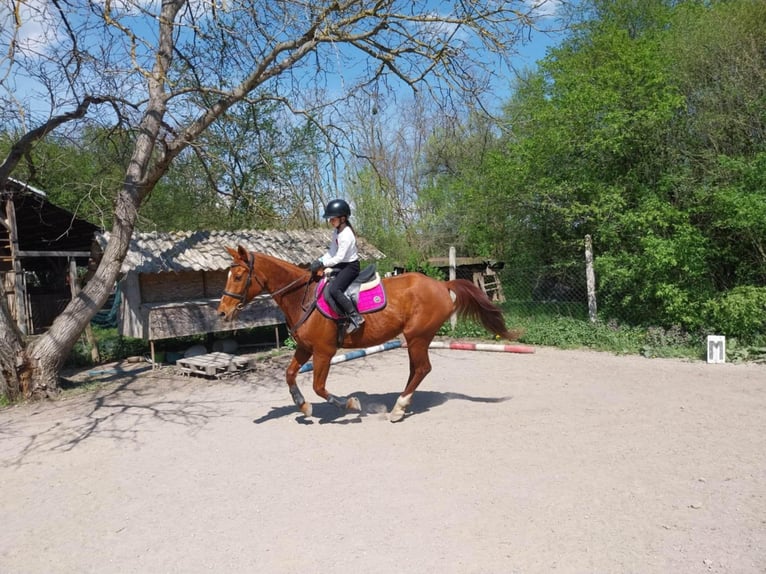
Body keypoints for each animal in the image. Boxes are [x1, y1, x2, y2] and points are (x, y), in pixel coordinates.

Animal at [217, 245, 522, 422]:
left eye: (239, 276)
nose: (222, 312)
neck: (302, 298)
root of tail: (441, 284)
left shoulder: (324, 352)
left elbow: (319, 386)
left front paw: (349, 404)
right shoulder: (304, 348)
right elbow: (290, 374)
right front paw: (302, 406)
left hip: (418, 337)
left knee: (422, 368)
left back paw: (399, 408)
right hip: (415, 339)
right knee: (416, 369)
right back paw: (402, 403)